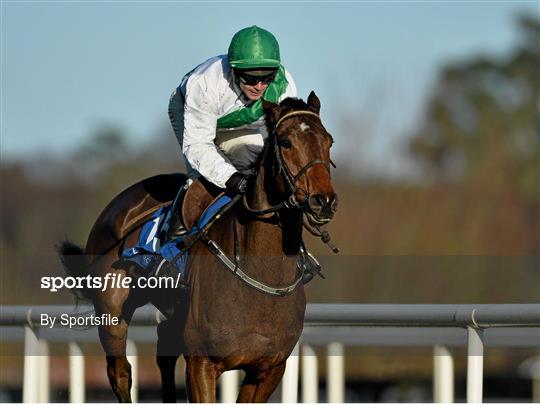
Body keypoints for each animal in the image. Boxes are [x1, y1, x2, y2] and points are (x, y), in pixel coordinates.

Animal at [59, 91, 338, 400]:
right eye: (286, 142)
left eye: (328, 141)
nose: (323, 201)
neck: (262, 277)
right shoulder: (201, 362)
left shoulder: (269, 369)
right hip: (112, 313)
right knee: (120, 372)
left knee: (164, 352)